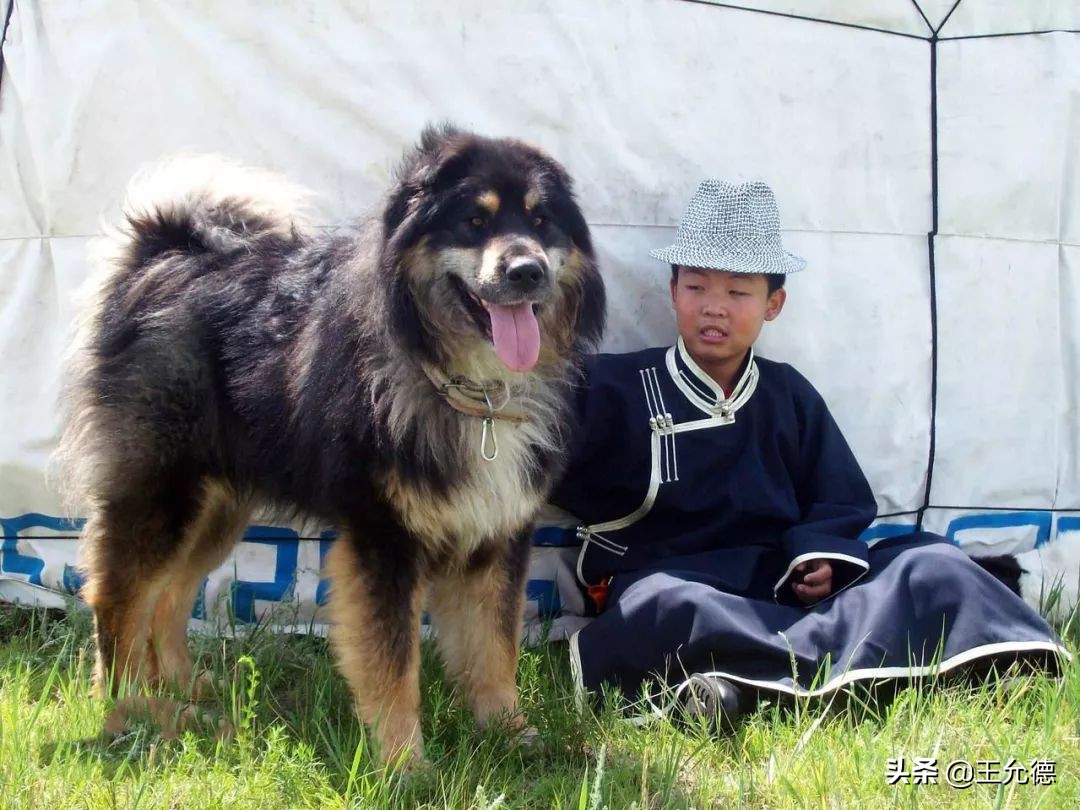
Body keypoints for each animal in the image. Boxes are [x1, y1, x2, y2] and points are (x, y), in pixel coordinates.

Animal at [56, 125, 609, 760]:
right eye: (474, 220)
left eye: (542, 222)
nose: (527, 271)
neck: (470, 388)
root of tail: (159, 255)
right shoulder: (383, 537)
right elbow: (393, 663)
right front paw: (403, 762)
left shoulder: (498, 532)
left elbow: (494, 647)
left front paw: (511, 735)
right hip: (162, 491)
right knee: (119, 600)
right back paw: (129, 709)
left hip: (218, 506)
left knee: (169, 596)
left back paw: (184, 690)